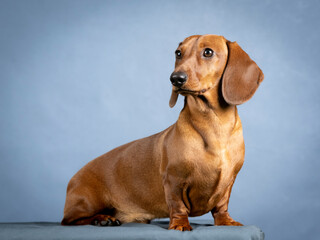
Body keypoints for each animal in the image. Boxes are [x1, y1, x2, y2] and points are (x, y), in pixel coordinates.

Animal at [61, 34, 264, 231]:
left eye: (208, 52)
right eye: (178, 53)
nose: (176, 78)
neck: (213, 126)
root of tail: (72, 179)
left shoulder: (229, 182)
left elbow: (221, 205)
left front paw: (226, 221)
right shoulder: (174, 180)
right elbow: (178, 205)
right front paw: (180, 224)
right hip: (86, 203)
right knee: (69, 220)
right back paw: (102, 219)